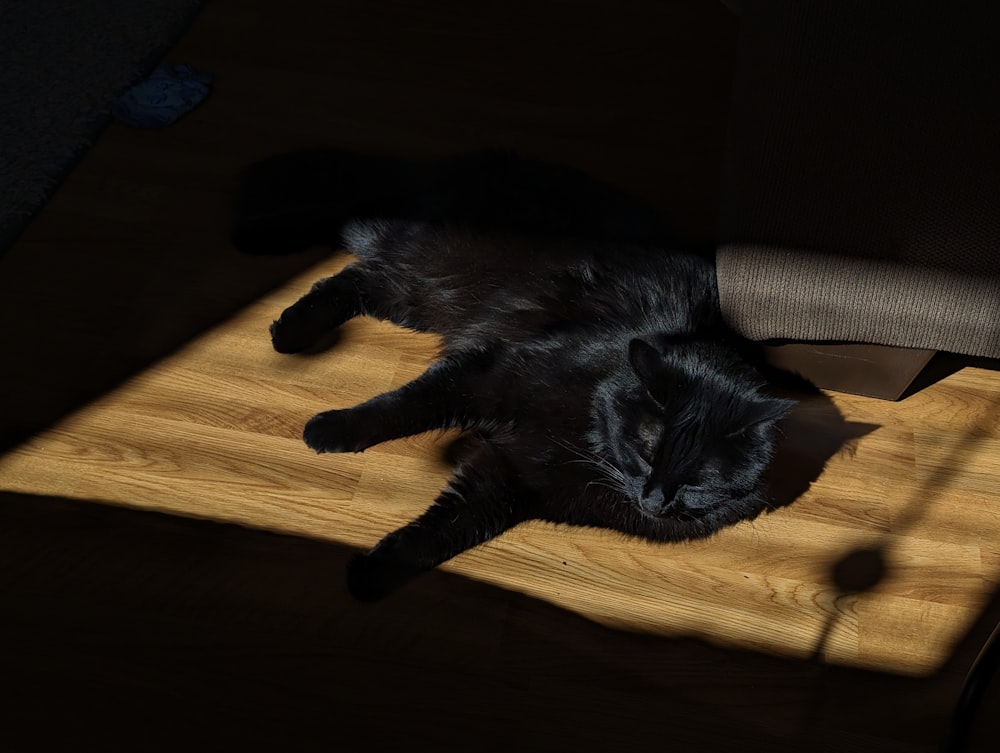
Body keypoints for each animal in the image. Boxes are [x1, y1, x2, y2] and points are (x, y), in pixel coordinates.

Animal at [232, 150, 796, 604]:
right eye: (644, 452)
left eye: (697, 481)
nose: (654, 500)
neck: (588, 427)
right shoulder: (492, 372)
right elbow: (406, 405)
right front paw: (331, 430)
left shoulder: (508, 479)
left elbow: (440, 533)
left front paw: (371, 575)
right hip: (432, 264)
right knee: (352, 226)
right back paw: (268, 275)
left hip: (420, 294)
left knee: (357, 277)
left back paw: (291, 329)